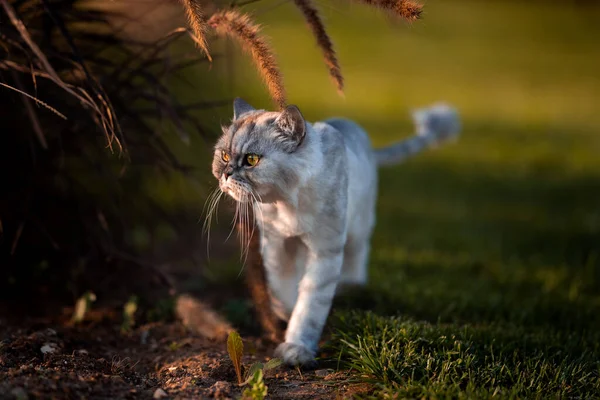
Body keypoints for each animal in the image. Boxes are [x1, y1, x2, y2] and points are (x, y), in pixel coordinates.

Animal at [211, 98, 460, 368]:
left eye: (252, 160)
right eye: (225, 156)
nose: (226, 175)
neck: (287, 206)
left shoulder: (324, 252)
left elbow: (309, 307)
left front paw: (297, 348)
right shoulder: (277, 247)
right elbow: (282, 290)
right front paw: (287, 312)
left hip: (357, 231)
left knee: (357, 258)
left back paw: (351, 288)